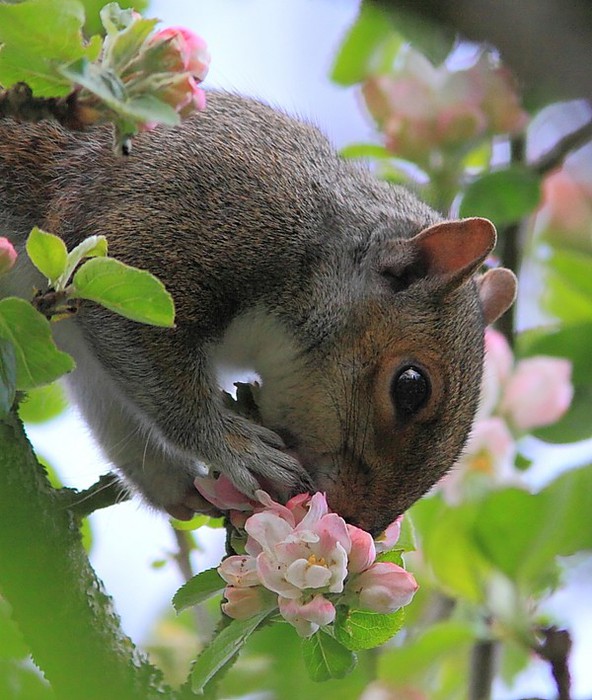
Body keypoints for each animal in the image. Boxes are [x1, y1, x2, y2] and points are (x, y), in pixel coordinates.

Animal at [0, 90, 516, 532]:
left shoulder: (78, 336)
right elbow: (159, 378)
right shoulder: (170, 233)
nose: (355, 522)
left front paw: (176, 485)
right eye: (411, 387)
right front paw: (235, 446)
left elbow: (112, 411)